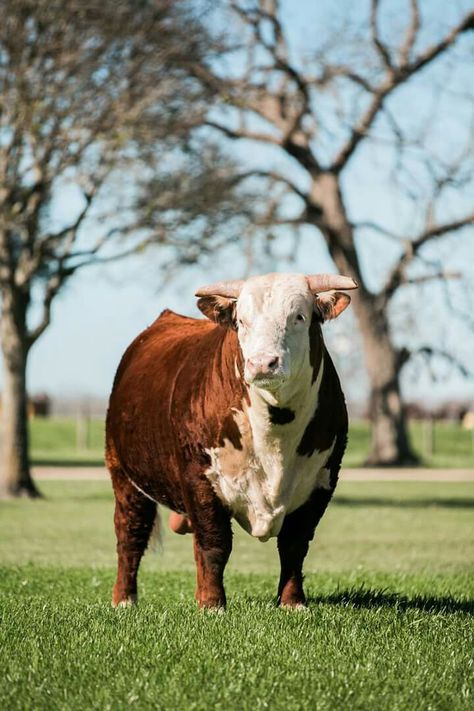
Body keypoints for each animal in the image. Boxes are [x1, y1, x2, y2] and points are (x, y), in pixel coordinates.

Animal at [106, 272, 356, 612]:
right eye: (241, 321)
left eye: (299, 317)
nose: (263, 363)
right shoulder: (200, 479)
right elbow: (214, 542)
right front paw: (212, 603)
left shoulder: (321, 481)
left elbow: (294, 545)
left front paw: (292, 602)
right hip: (124, 474)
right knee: (130, 533)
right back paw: (124, 598)